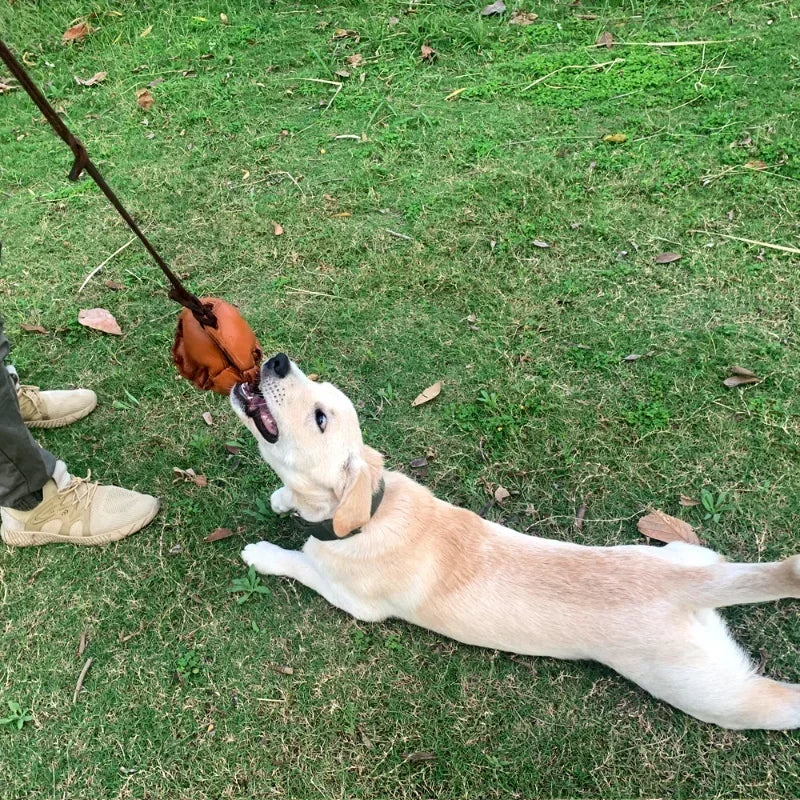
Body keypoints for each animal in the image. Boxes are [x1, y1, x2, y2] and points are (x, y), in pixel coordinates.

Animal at [231, 354, 800, 728]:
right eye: (316, 387)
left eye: (320, 417)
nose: (277, 360)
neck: (369, 510)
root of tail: (692, 587)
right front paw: (281, 500)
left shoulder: (354, 601)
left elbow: (302, 563)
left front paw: (264, 553)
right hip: (686, 554)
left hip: (710, 692)